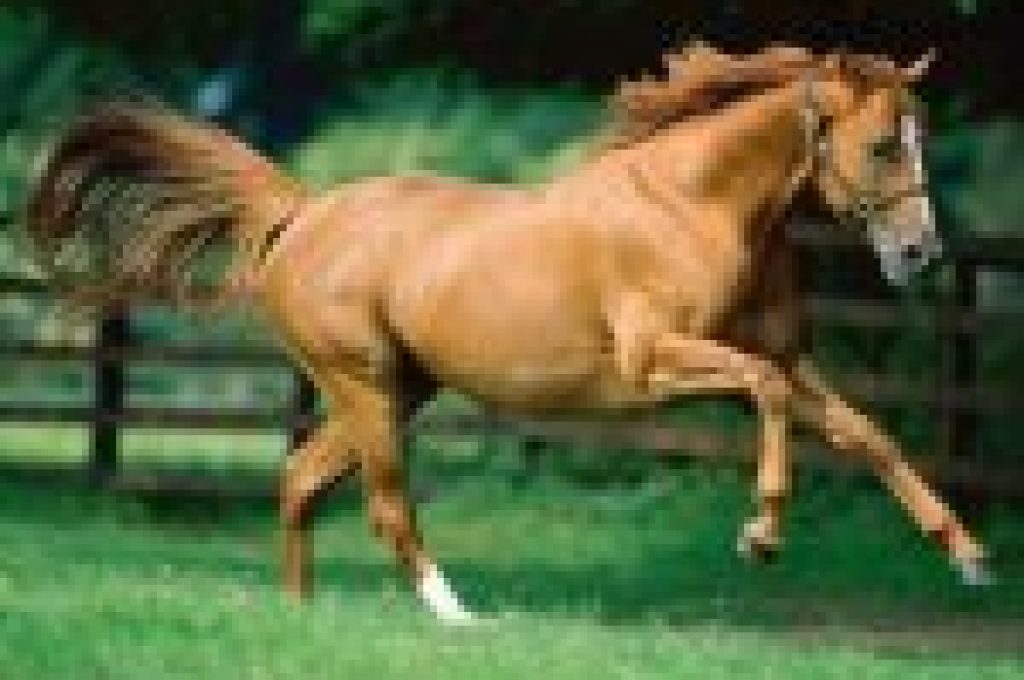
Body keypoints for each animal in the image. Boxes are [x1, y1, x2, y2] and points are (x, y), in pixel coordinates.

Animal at [24, 43, 989, 624]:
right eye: (882, 145)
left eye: (920, 135)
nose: (922, 255)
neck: (696, 207)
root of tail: (302, 212)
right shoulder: (655, 365)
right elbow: (769, 392)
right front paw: (762, 536)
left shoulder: (788, 356)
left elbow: (866, 433)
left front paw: (968, 558)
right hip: (364, 386)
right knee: (385, 505)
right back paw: (457, 617)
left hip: (398, 389)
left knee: (300, 479)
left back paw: (300, 616)